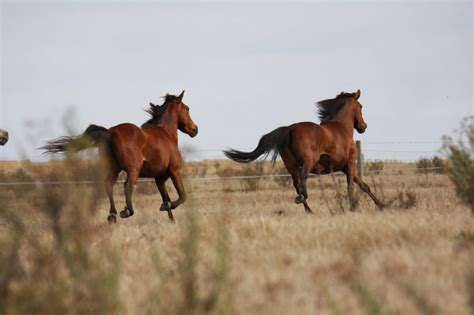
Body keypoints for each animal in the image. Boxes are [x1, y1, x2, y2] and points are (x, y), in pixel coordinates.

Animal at [39, 90, 197, 225]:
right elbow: (182, 196)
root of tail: (111, 132)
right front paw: (166, 207)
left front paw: (171, 218)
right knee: (127, 186)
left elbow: (166, 197)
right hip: (133, 169)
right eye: (187, 108)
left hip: (113, 169)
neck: (166, 133)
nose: (195, 129)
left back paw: (112, 216)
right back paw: (126, 211)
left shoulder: (159, 178)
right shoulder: (174, 171)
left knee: (109, 185)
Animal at [224, 90, 384, 214]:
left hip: (291, 165)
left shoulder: (345, 168)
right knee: (302, 180)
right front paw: (353, 207)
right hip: (308, 161)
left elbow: (364, 185)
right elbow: (351, 187)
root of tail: (289, 129)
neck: (342, 128)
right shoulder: (350, 164)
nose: (363, 126)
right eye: (361, 106)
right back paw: (303, 199)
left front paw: (382, 205)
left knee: (296, 183)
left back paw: (309, 210)